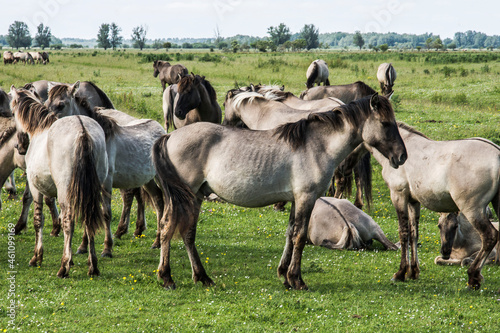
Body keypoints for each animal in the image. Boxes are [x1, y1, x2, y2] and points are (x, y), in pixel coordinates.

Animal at [10, 87, 108, 276]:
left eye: (12, 113)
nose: (19, 146)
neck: (39, 130)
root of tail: (83, 131)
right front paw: (72, 259)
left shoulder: (36, 188)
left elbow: (38, 220)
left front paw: (37, 257)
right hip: (92, 192)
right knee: (88, 220)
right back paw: (93, 266)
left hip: (65, 193)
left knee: (69, 222)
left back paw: (64, 267)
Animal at [45, 83, 166, 254]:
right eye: (47, 102)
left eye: (61, 105)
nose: (49, 125)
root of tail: (161, 128)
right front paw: (83, 246)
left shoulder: (106, 182)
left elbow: (106, 213)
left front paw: (107, 248)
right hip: (147, 180)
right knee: (158, 200)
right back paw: (157, 242)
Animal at [151, 92, 406, 288]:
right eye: (385, 124)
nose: (402, 157)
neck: (316, 146)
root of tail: (170, 135)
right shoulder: (306, 198)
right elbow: (300, 236)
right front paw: (297, 279)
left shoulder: (295, 199)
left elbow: (290, 233)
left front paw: (284, 275)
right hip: (186, 196)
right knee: (168, 228)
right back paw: (167, 277)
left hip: (195, 197)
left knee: (186, 233)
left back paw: (202, 277)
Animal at [360, 123, 500, 290]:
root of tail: (497, 154)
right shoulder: (413, 201)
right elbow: (413, 234)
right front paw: (413, 272)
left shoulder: (398, 196)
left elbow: (403, 233)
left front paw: (400, 273)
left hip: (473, 210)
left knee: (489, 236)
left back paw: (473, 277)